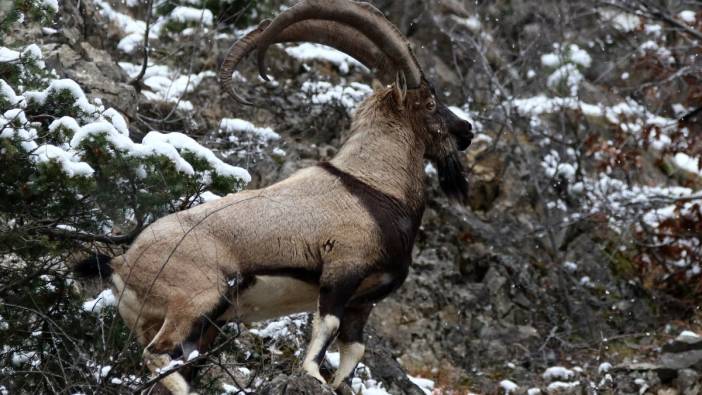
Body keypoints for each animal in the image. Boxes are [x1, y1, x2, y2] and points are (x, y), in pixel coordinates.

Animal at [81, 1, 472, 394]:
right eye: (430, 102)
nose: (466, 130)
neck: (374, 186)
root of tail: (122, 263)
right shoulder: (342, 272)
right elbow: (326, 327)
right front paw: (312, 374)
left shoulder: (363, 302)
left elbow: (354, 348)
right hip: (198, 298)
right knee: (157, 354)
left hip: (196, 321)